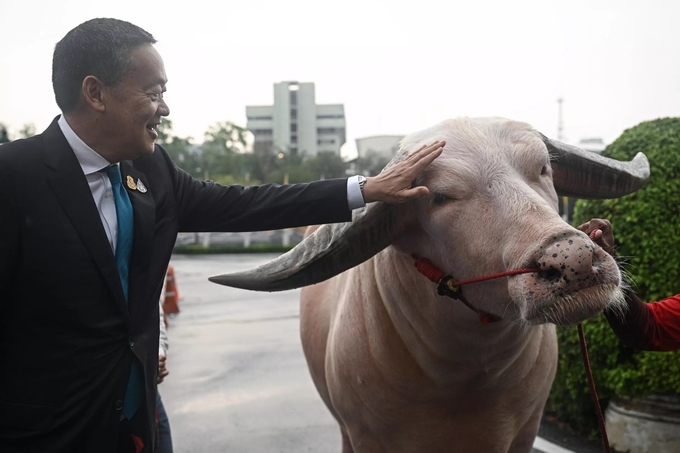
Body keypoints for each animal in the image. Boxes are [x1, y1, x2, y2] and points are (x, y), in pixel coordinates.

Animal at [211, 117, 648, 452]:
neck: (465, 376)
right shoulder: (367, 435)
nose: (575, 260)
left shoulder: (526, 429)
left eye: (543, 168)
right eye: (440, 197)